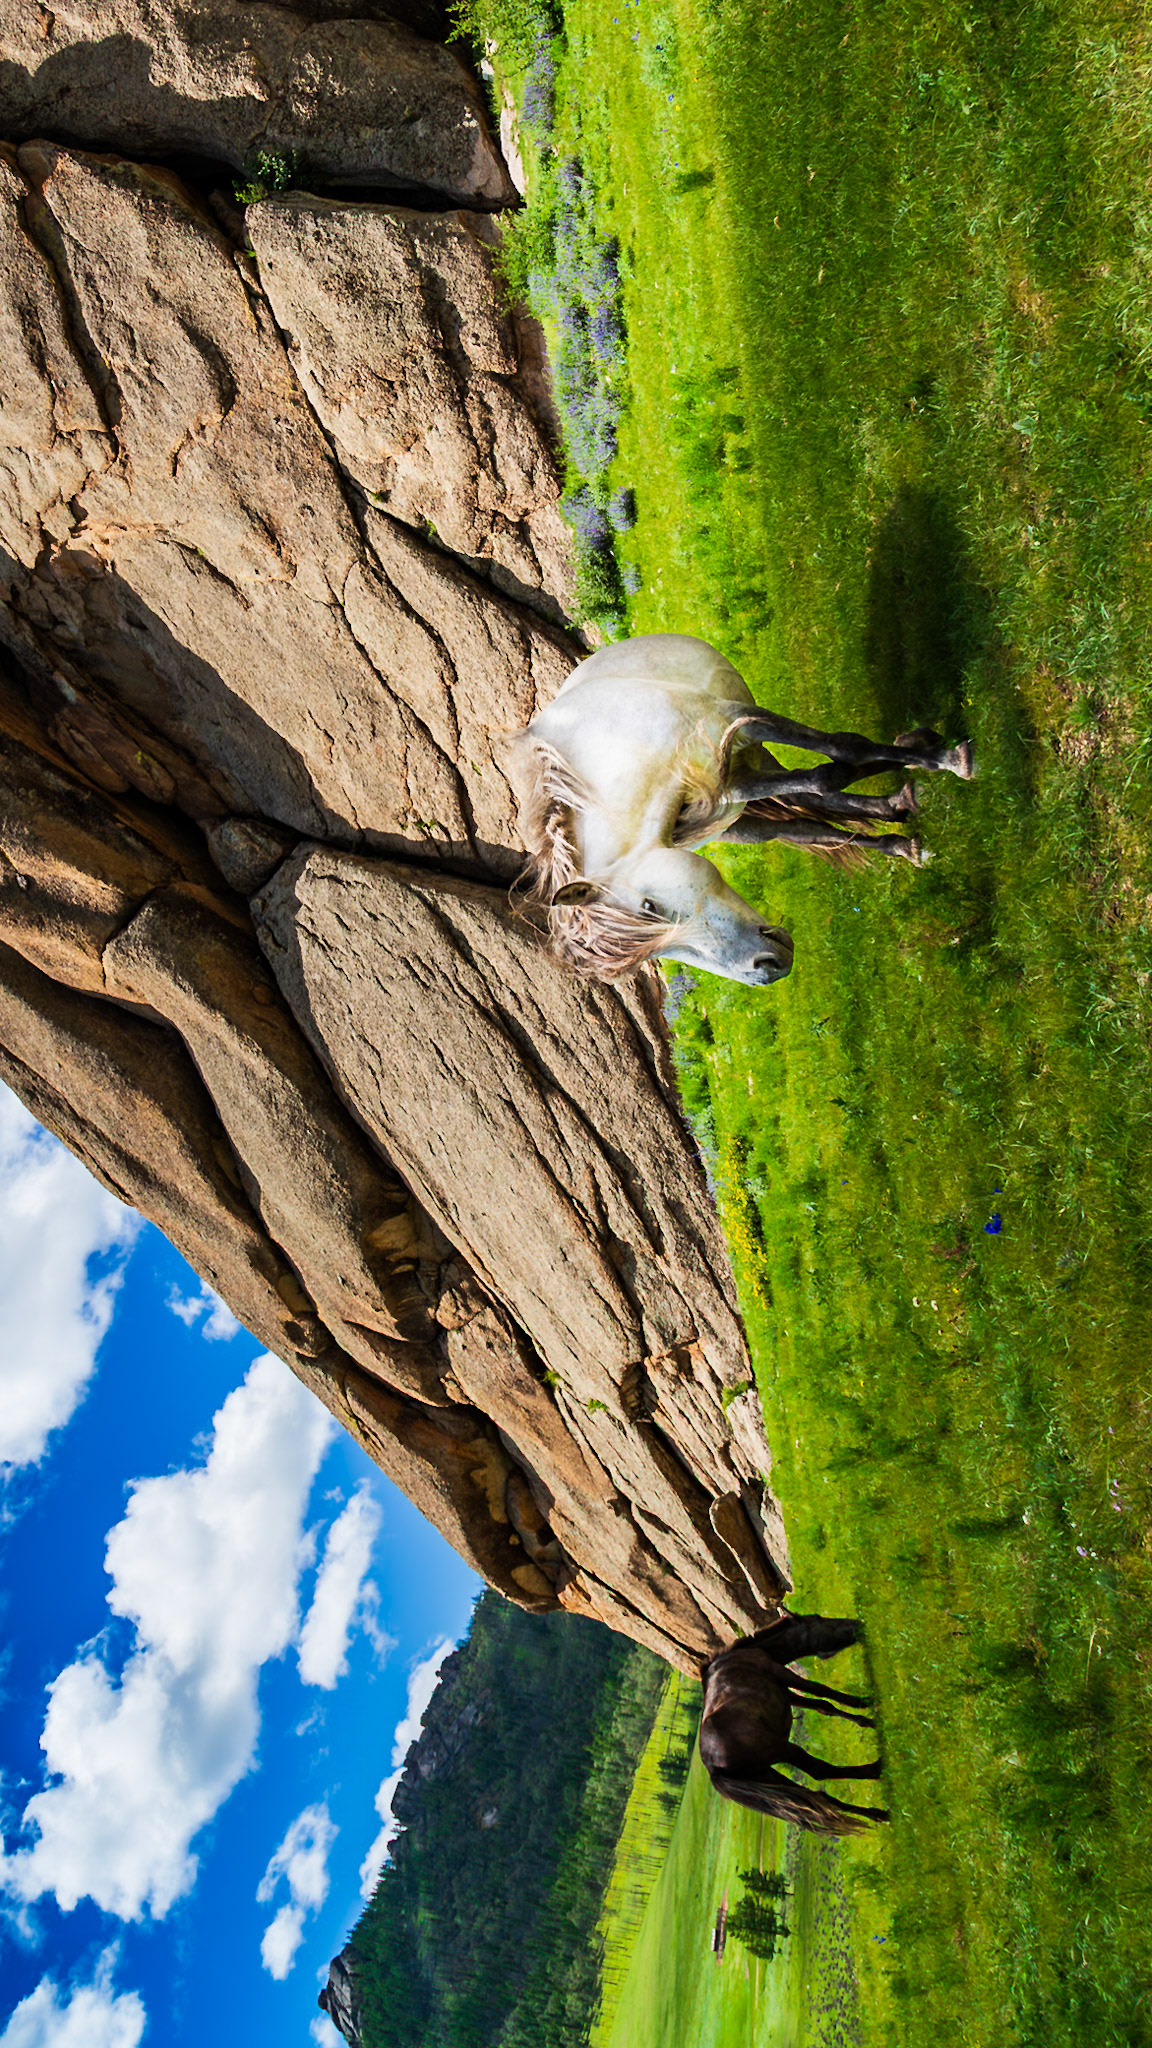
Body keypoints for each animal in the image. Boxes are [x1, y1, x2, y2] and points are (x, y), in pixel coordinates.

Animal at [508, 632, 974, 984]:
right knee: (812, 820)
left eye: (649, 908)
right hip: (740, 816)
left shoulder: (736, 722)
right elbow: (826, 782)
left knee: (824, 785)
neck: (616, 749)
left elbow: (842, 753)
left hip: (744, 764)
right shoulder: (729, 785)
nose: (766, 969)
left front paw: (948, 758)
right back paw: (900, 829)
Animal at [699, 1610, 888, 1835]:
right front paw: (866, 1704)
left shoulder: (787, 1693)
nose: (855, 1625)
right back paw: (876, 1769)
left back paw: (879, 1815)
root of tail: (713, 1767)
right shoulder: (782, 1673)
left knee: (821, 1799)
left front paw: (865, 1720)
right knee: (821, 1771)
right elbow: (821, 1690)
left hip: (768, 1775)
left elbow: (824, 1706)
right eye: (819, 1620)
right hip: (785, 1750)